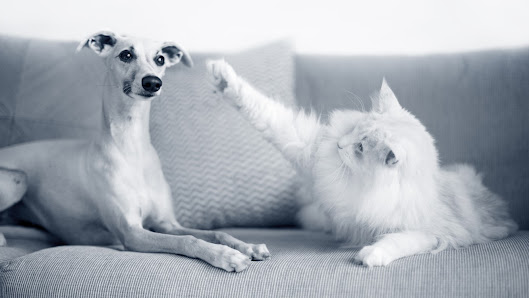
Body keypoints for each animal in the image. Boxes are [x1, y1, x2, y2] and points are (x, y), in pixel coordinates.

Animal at [0, 31, 270, 272]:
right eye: (126, 54)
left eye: (160, 59)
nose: (152, 82)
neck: (132, 148)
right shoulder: (132, 232)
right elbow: (188, 240)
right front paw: (226, 256)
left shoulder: (166, 224)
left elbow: (214, 232)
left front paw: (247, 246)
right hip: (19, 178)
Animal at [205, 59, 516, 266]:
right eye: (355, 132)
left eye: (360, 147)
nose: (338, 145)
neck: (372, 188)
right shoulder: (307, 150)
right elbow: (264, 112)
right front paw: (223, 78)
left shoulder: (436, 234)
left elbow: (400, 240)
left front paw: (371, 254)